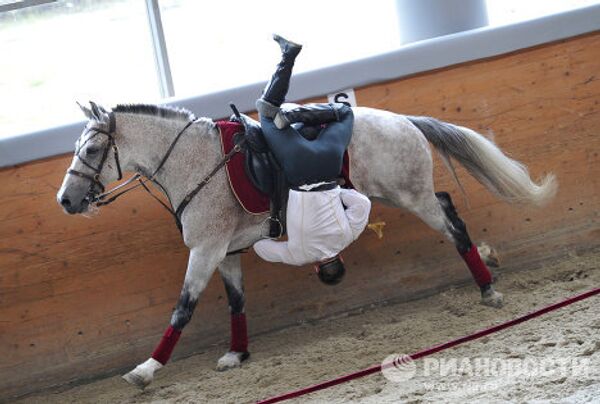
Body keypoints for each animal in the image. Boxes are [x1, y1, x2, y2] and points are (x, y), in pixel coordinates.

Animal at [57, 102, 556, 388]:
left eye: (90, 151)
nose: (66, 200)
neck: (196, 162)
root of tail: (404, 120)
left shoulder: (205, 250)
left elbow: (183, 309)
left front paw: (146, 369)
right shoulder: (224, 252)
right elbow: (236, 303)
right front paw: (237, 354)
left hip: (410, 196)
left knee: (453, 225)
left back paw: (488, 287)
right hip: (402, 194)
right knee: (449, 205)